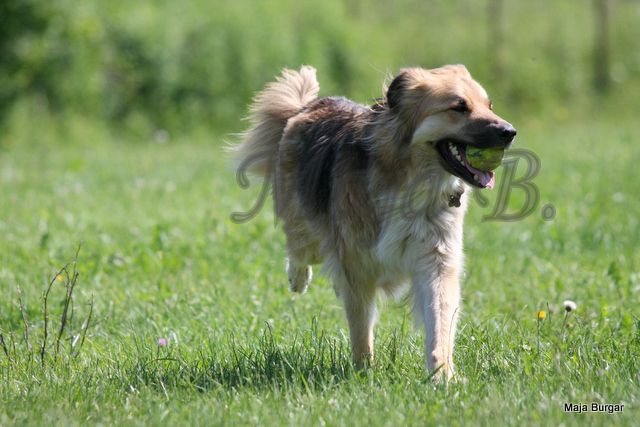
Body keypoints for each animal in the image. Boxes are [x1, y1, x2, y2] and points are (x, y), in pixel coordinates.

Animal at [232, 64, 516, 382]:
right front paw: (364, 373)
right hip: (306, 226)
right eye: (459, 107)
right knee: (299, 247)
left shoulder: (436, 260)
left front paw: (442, 375)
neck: (411, 180)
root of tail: (308, 106)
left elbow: (440, 320)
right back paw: (297, 278)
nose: (510, 132)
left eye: (489, 105)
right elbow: (360, 328)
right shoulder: (357, 267)